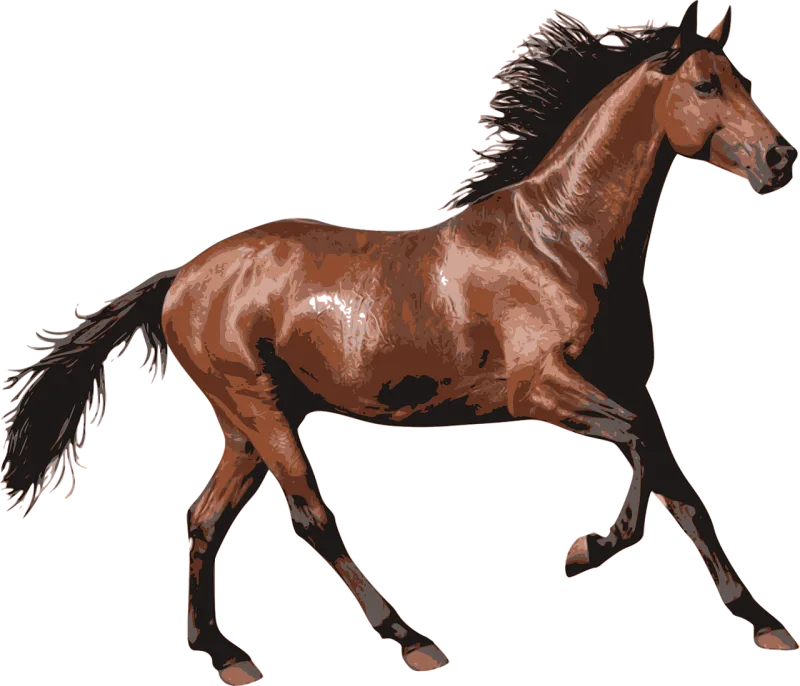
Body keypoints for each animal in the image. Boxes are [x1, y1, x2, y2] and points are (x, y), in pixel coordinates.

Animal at [2, 3, 798, 683]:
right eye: (705, 84)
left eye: (743, 80)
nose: (780, 158)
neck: (562, 243)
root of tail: (180, 279)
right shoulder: (541, 388)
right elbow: (638, 451)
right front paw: (583, 551)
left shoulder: (629, 385)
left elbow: (680, 487)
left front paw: (764, 622)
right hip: (260, 411)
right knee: (310, 518)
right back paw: (411, 639)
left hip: (249, 425)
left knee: (204, 519)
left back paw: (224, 654)